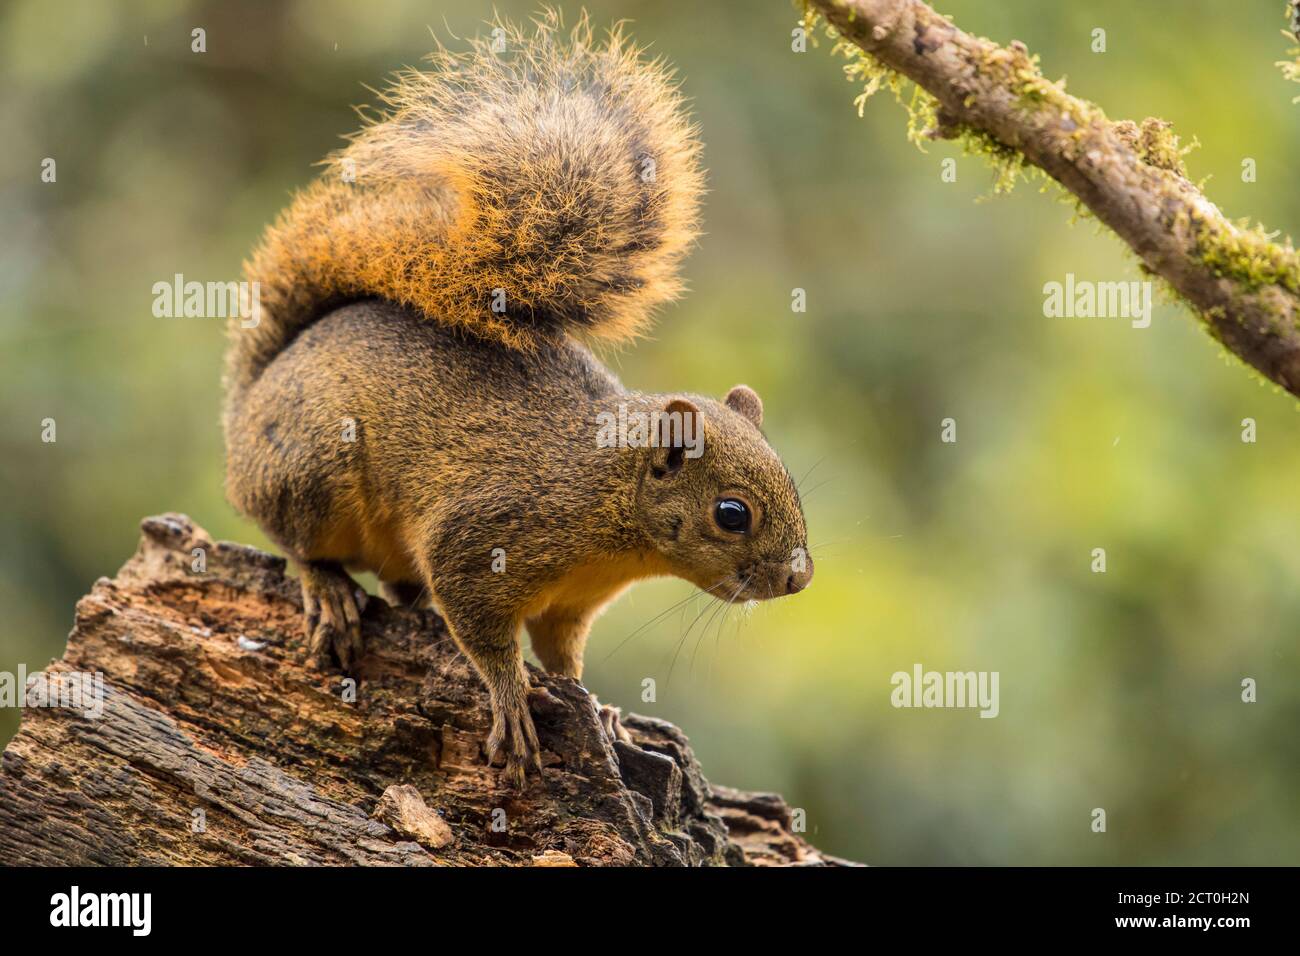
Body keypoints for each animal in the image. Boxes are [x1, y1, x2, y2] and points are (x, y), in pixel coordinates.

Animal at [223, 14, 811, 790]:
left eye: (794, 483)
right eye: (732, 514)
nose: (798, 578)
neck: (609, 509)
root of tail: (250, 404)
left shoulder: (569, 608)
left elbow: (564, 657)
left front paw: (603, 712)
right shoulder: (483, 538)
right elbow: (482, 633)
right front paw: (511, 703)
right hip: (314, 469)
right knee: (292, 535)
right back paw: (328, 588)